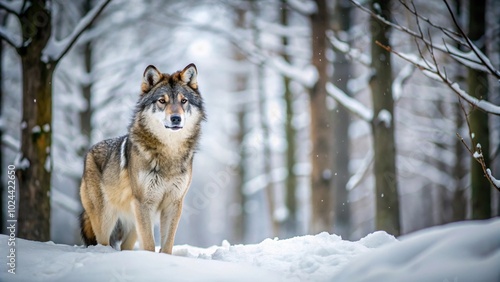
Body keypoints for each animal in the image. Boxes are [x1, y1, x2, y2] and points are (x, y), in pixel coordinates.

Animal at [79, 63, 204, 253]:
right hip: (106, 220)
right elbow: (149, 245)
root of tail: (89, 152)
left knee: (125, 246)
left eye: (184, 101)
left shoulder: (174, 203)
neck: (169, 152)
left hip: (133, 223)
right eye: (162, 101)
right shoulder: (145, 203)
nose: (176, 118)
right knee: (103, 244)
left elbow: (167, 245)